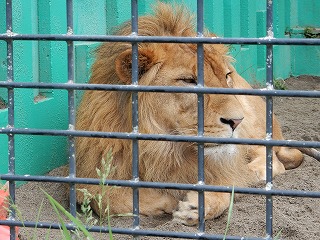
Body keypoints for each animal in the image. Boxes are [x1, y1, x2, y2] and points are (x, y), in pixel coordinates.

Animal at [74, 2, 308, 226]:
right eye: (188, 81)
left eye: (226, 76)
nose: (237, 121)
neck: (163, 150)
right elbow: (108, 199)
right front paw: (167, 200)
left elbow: (227, 185)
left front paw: (197, 206)